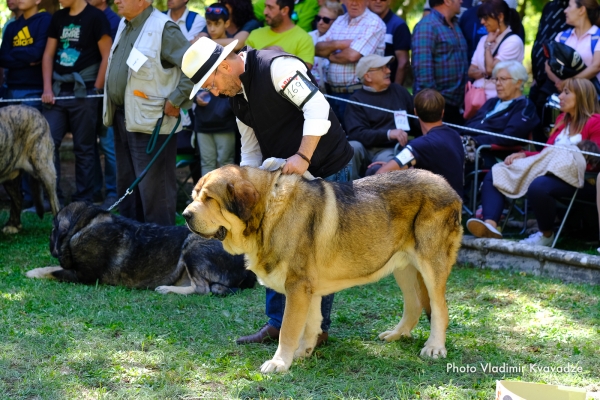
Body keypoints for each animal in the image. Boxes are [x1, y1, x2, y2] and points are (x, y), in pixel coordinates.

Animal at [0, 104, 60, 233]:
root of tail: (36, 111)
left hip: (45, 169)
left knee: (56, 204)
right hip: (10, 175)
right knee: (18, 198)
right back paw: (13, 225)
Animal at [26, 203, 255, 294]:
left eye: (53, 229)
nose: (50, 243)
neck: (84, 223)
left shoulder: (83, 276)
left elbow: (53, 271)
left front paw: (33, 272)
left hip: (193, 245)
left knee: (202, 289)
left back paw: (167, 289)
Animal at [184, 165, 464, 372]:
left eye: (209, 198)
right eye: (194, 197)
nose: (186, 215)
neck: (267, 211)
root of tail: (449, 186)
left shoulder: (296, 286)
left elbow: (288, 329)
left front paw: (279, 362)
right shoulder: (309, 289)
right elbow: (310, 323)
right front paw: (303, 352)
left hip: (431, 265)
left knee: (440, 308)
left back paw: (435, 347)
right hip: (402, 267)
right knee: (414, 304)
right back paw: (397, 334)